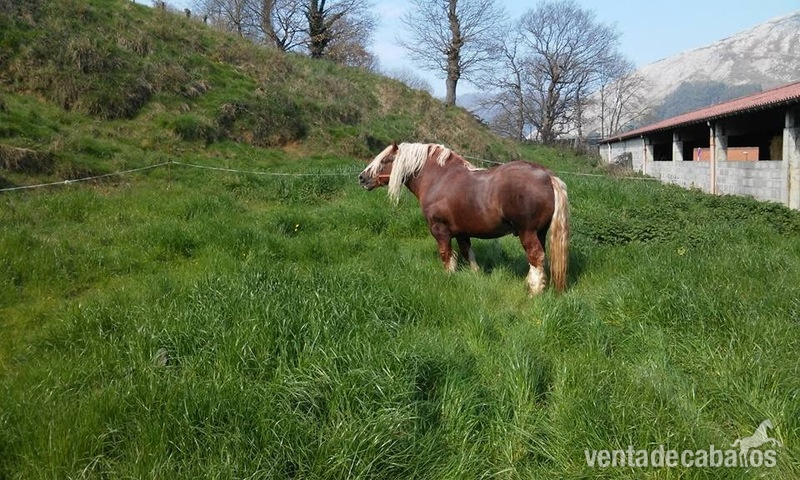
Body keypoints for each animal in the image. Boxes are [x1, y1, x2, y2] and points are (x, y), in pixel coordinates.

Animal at [358, 142, 569, 295]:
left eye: (386, 159)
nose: (362, 177)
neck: (438, 179)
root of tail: (547, 176)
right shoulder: (461, 232)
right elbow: (468, 254)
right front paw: (476, 276)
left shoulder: (440, 230)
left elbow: (446, 255)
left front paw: (448, 278)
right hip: (540, 232)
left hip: (528, 232)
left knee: (536, 256)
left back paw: (535, 292)